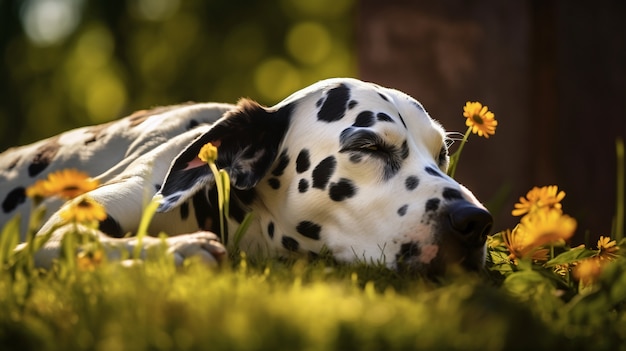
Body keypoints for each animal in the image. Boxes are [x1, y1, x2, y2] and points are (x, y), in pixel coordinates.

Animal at [0, 78, 490, 276]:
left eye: (442, 155)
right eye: (369, 146)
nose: (475, 222)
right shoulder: (48, 237)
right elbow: (70, 241)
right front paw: (176, 251)